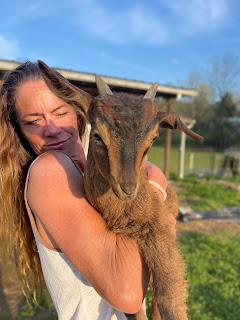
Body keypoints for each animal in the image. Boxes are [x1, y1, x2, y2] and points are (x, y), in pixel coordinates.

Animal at [38, 60, 203, 320]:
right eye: (97, 135)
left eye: (152, 139)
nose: (127, 187)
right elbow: (136, 306)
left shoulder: (161, 228)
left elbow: (168, 297)